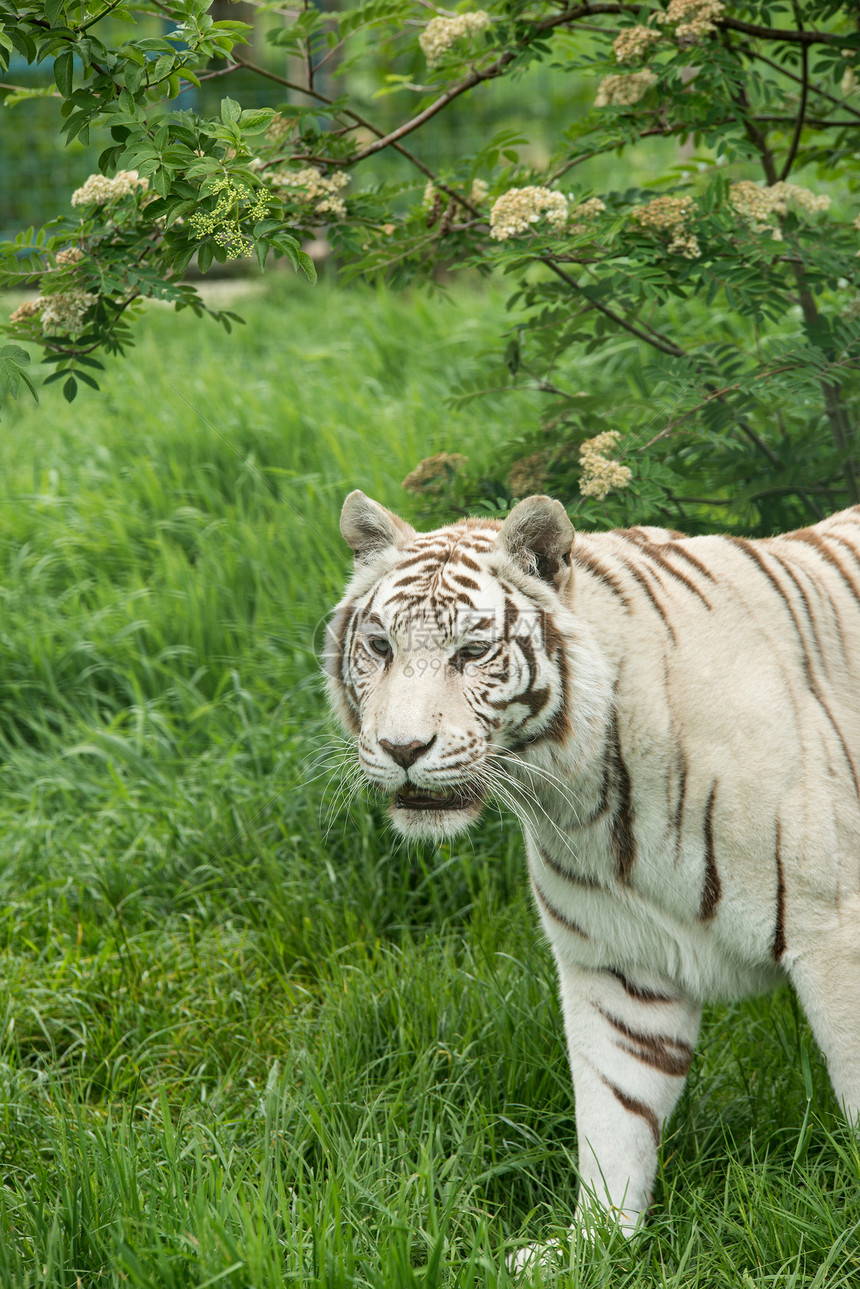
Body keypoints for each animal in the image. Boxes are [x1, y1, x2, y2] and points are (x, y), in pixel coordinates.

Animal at [322, 489, 860, 1247]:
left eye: (472, 651)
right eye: (380, 647)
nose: (402, 747)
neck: (581, 793)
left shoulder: (835, 934)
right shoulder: (618, 962)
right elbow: (614, 1112)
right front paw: (593, 1244)